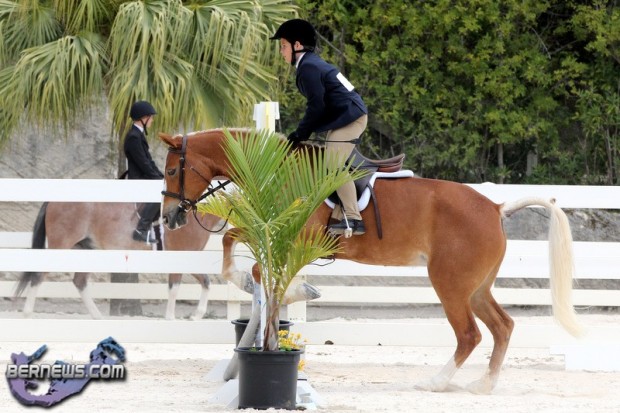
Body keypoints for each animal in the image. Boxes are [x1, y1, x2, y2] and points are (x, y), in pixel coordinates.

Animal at [14, 201, 226, 320]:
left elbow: (206, 282)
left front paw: (196, 315)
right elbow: (174, 288)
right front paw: (171, 318)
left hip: (87, 251)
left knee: (79, 281)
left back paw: (97, 316)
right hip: (60, 246)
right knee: (38, 275)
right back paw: (27, 313)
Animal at [158, 127, 582, 394]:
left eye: (173, 170)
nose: (170, 217)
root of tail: (496, 207)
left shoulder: (301, 236)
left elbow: (263, 269)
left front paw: (296, 291)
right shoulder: (276, 229)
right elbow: (233, 240)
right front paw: (252, 282)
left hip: (450, 284)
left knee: (469, 335)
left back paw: (436, 383)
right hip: (476, 287)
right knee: (502, 327)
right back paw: (484, 385)